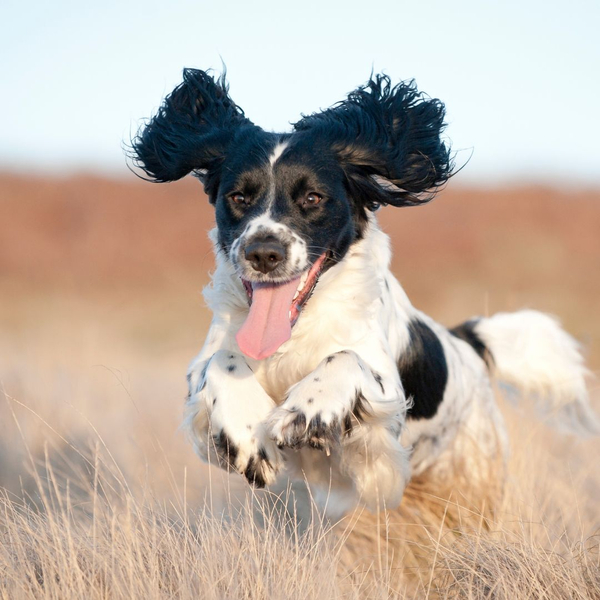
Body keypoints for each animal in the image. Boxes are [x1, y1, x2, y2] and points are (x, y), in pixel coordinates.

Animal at [131, 69, 596, 520]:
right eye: (238, 196)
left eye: (313, 197)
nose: (263, 251)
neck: (294, 333)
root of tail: (466, 343)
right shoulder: (204, 374)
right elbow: (220, 362)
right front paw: (248, 436)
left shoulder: (383, 420)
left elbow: (346, 358)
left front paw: (306, 410)